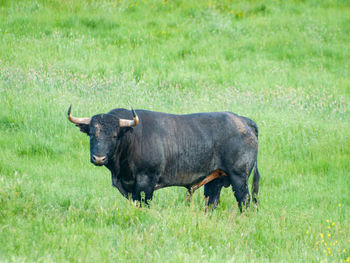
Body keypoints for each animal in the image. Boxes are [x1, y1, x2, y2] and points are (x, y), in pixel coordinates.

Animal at [68, 106, 260, 211]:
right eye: (92, 134)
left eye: (115, 135)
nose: (99, 158)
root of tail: (243, 120)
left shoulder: (146, 182)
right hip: (215, 180)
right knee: (211, 201)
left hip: (239, 177)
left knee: (244, 200)